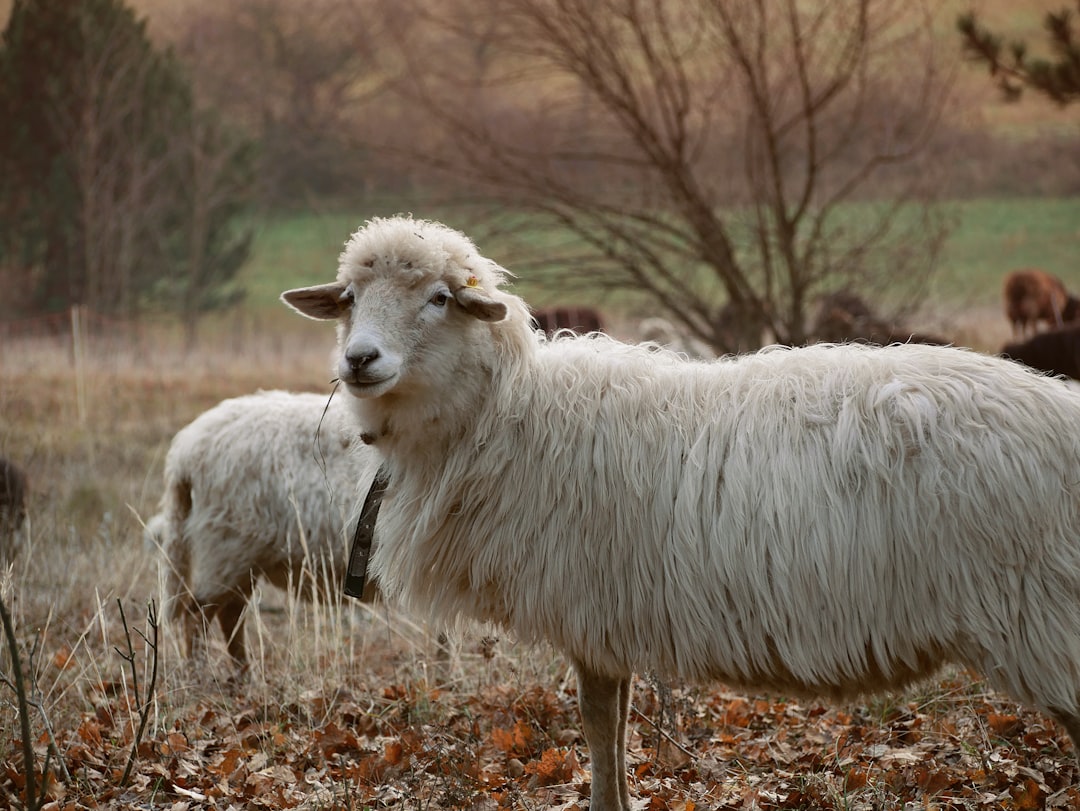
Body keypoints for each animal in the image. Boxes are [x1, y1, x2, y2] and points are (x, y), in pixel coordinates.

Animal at [141, 390, 382, 669]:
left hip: (242, 558)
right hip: (225, 547)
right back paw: (200, 671)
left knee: (229, 614)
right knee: (198, 613)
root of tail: (187, 448)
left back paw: (243, 673)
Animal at [282, 217, 1080, 811]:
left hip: (1046, 615)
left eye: (440, 298)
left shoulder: (587, 603)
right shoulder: (607, 615)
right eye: (349, 296)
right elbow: (615, 723)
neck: (506, 413)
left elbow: (600, 723)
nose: (359, 360)